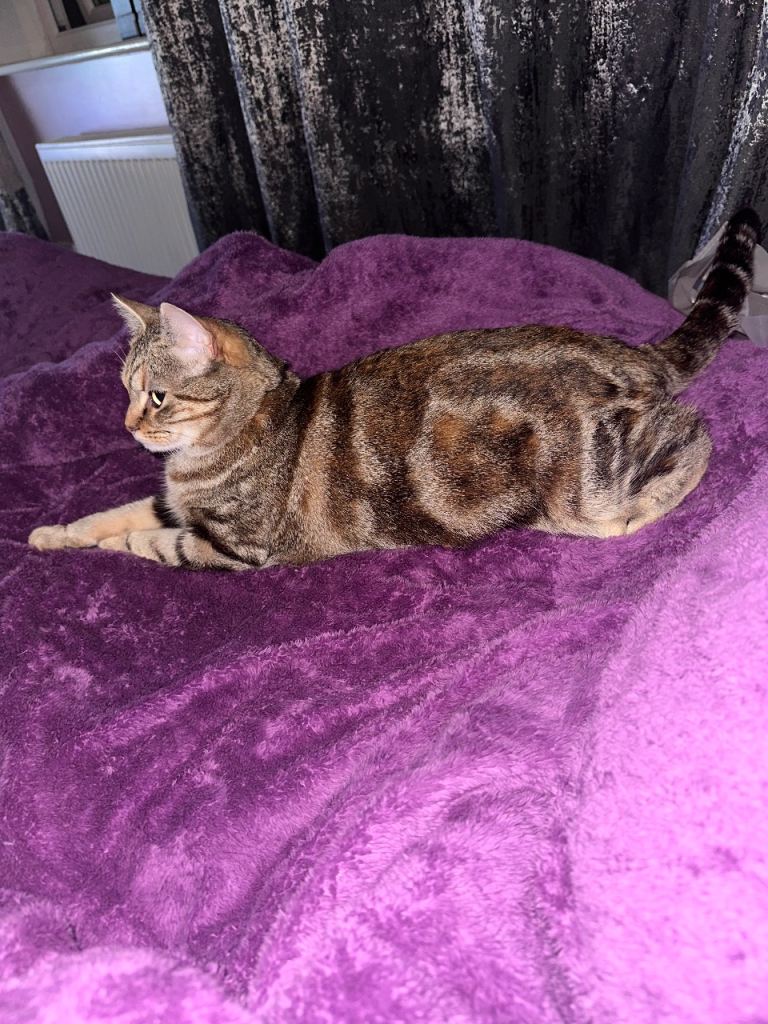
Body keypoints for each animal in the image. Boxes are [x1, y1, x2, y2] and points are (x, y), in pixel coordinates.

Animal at [29, 208, 760, 571]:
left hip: (589, 486)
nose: (127, 425)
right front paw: (55, 533)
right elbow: (113, 513)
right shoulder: (172, 504)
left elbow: (147, 543)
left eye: (155, 396)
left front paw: (108, 551)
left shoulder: (233, 545)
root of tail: (628, 350)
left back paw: (643, 510)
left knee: (696, 434)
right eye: (125, 389)